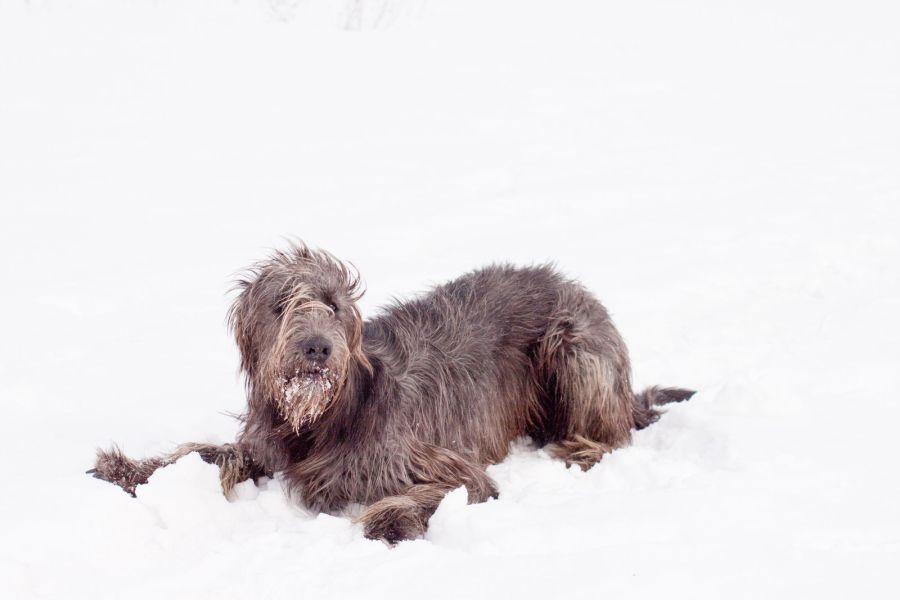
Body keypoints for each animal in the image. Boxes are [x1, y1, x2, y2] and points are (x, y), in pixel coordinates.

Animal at [91, 244, 692, 544]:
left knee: (612, 435)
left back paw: (578, 450)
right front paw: (127, 469)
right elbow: (202, 453)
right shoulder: (269, 444)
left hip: (571, 345)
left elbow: (454, 487)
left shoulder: (432, 459)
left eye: (333, 305)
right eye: (280, 306)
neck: (325, 419)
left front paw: (389, 518)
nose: (316, 349)